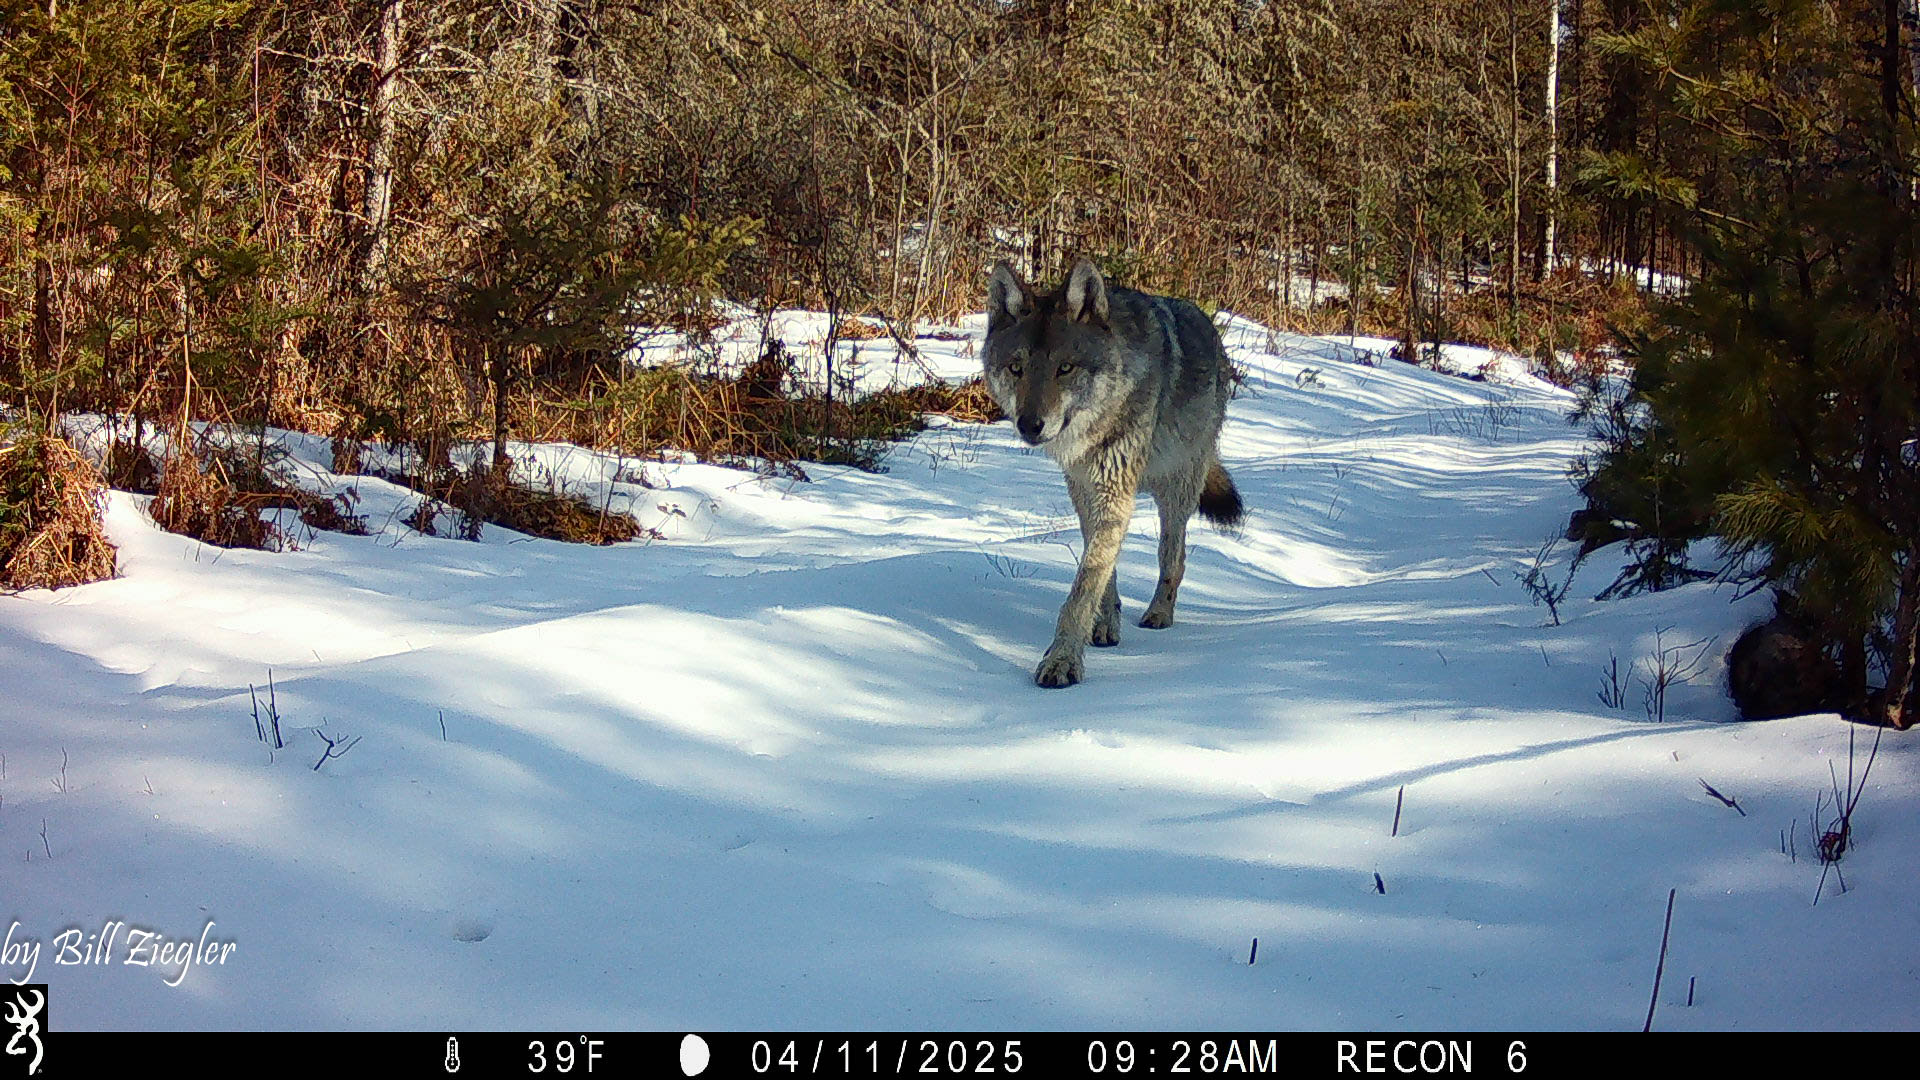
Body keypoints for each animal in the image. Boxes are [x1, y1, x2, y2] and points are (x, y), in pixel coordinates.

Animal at [982, 258, 1243, 688]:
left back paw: (1159, 614)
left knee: (1173, 556)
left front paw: (1062, 661)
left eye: (1065, 368)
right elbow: (1101, 572)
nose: (1030, 425)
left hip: (1178, 492)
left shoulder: (1114, 493)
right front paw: (1104, 625)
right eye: (1016, 369)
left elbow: (1082, 588)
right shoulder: (1084, 489)